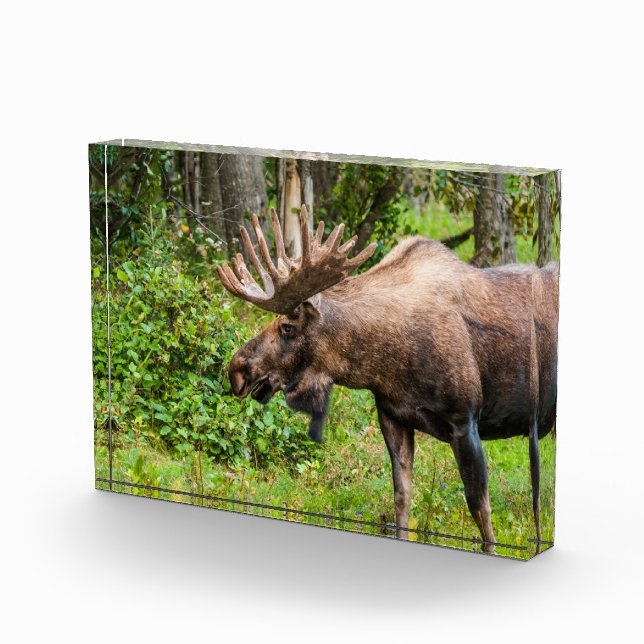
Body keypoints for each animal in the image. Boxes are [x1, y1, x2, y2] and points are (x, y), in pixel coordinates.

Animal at [217, 205, 559, 554]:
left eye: (288, 327)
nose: (237, 369)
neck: (384, 361)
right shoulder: (393, 417)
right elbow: (402, 498)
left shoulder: (465, 420)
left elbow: (481, 510)